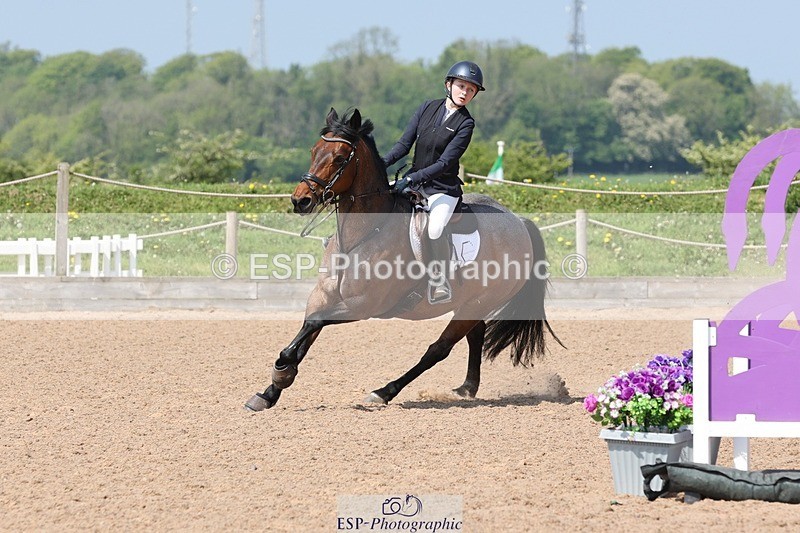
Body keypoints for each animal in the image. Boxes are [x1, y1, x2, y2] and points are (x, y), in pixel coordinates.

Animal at [245, 108, 561, 411]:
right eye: (314, 151)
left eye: (340, 158)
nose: (301, 201)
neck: (361, 237)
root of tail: (519, 222)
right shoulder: (323, 296)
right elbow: (308, 329)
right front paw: (270, 391)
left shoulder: (364, 305)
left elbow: (312, 325)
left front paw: (282, 368)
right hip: (471, 302)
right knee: (474, 335)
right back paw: (466, 388)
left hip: (479, 302)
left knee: (438, 349)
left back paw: (384, 392)